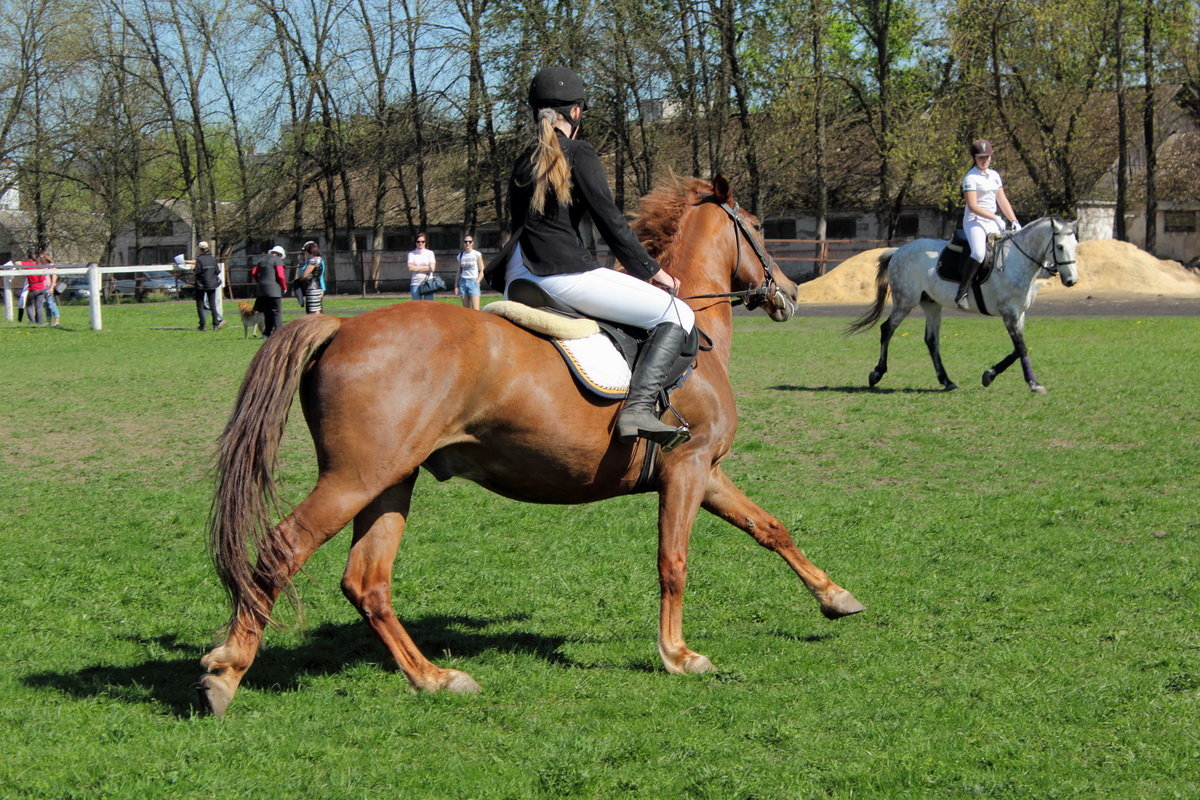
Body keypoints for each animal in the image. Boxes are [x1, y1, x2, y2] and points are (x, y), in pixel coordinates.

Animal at [199, 178, 864, 714]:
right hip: (354, 478)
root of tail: (341, 325)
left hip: (389, 481)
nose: (790, 293)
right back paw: (225, 673)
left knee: (366, 582)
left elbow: (770, 527)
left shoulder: (707, 471)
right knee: (282, 549)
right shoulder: (688, 467)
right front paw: (678, 655)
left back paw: (435, 679)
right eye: (755, 227)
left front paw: (837, 598)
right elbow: (673, 561)